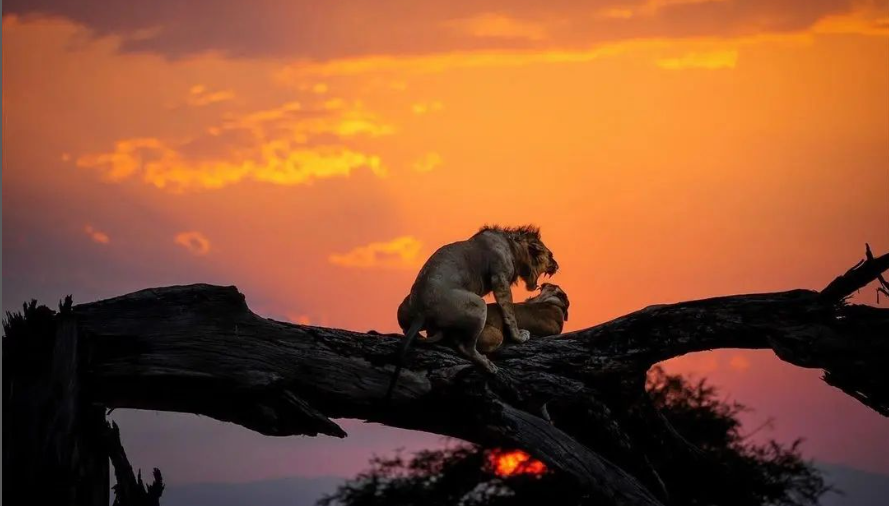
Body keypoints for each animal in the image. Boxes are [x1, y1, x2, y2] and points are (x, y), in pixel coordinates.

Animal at [387, 225, 558, 399]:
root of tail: (421, 311)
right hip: (479, 304)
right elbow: (509, 312)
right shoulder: (500, 279)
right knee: (466, 347)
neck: (514, 247)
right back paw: (489, 366)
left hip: (403, 306)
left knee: (407, 329)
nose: (557, 266)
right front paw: (519, 337)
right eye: (550, 255)